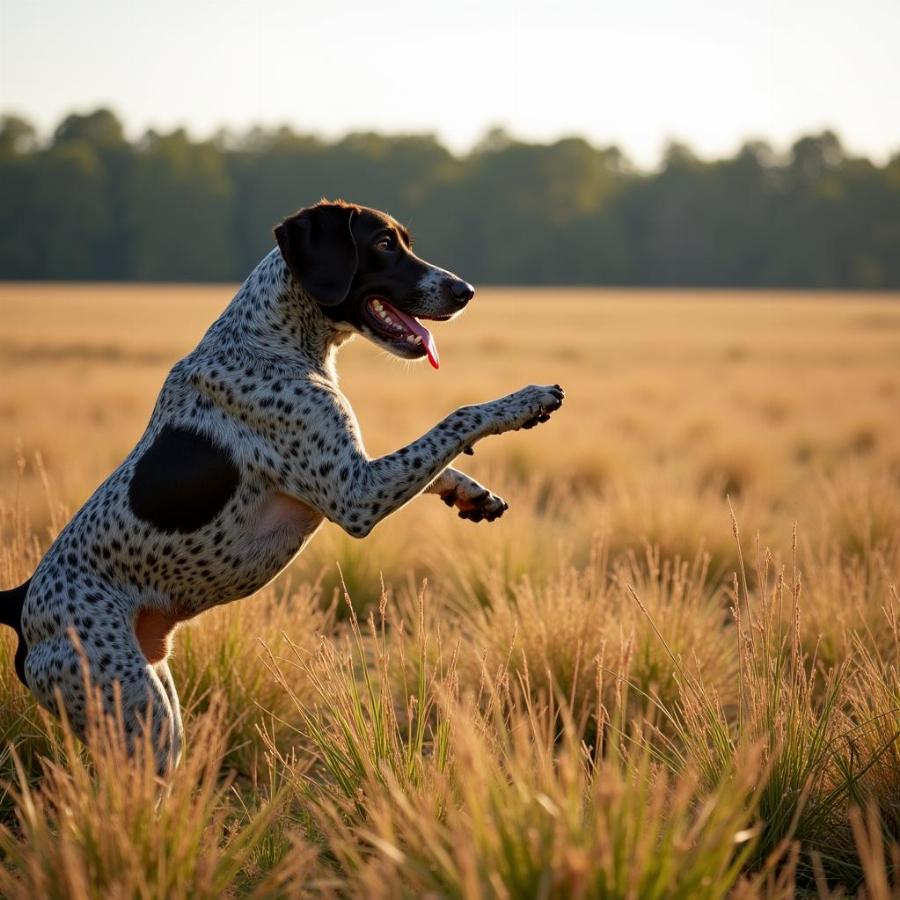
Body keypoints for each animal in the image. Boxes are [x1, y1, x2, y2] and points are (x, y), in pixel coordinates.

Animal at [0, 200, 564, 768]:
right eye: (383, 243)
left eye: (405, 241)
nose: (465, 290)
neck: (268, 340)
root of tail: (21, 604)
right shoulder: (356, 493)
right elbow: (458, 417)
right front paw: (524, 401)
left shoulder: (358, 474)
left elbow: (438, 460)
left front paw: (469, 492)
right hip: (139, 717)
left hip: (160, 708)